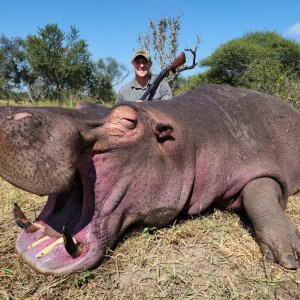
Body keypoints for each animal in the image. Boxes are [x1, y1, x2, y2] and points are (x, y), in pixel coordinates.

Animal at [0, 84, 298, 274]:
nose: (8, 113)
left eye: (128, 122)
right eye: (79, 104)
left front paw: (290, 255)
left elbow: (260, 195)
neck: (189, 138)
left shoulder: (254, 157)